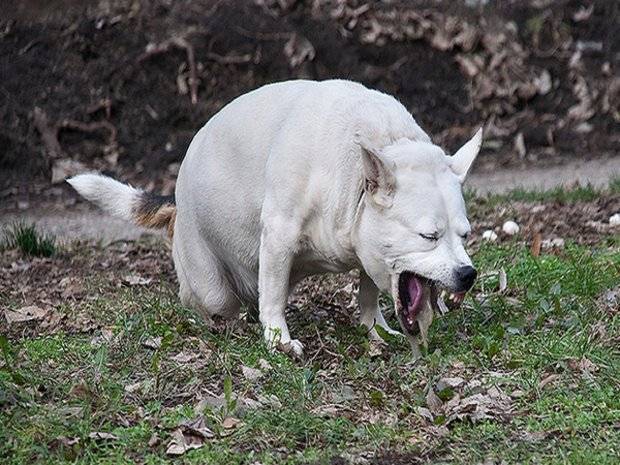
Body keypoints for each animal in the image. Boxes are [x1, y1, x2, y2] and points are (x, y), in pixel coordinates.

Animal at [70, 80, 482, 356]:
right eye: (429, 236)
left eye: (464, 235)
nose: (468, 274)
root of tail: (177, 204)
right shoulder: (279, 237)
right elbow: (273, 295)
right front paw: (278, 340)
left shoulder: (371, 248)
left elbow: (368, 291)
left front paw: (374, 329)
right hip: (210, 283)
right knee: (210, 300)